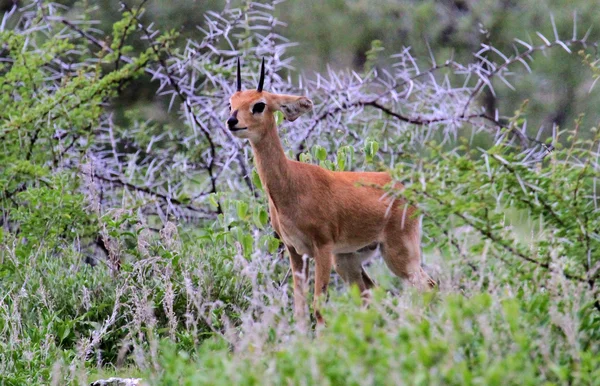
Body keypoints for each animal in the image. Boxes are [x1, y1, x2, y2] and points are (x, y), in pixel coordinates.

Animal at [227, 58, 434, 328]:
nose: (232, 121)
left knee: (427, 286)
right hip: (348, 260)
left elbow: (319, 307)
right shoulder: (295, 252)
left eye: (259, 104)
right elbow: (300, 310)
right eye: (230, 103)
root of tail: (403, 188)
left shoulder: (322, 248)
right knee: (374, 293)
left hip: (398, 253)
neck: (291, 185)